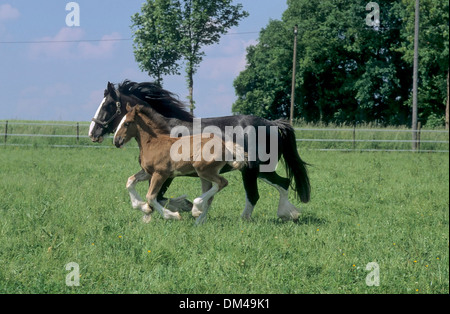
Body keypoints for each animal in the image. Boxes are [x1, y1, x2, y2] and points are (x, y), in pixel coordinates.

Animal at [89, 79, 312, 220]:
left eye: (108, 105)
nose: (93, 132)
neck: (162, 130)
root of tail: (272, 124)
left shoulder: (165, 173)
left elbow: (157, 196)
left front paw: (181, 208)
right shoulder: (150, 171)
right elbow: (131, 183)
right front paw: (145, 208)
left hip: (253, 169)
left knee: (258, 193)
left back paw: (253, 217)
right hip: (259, 170)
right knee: (282, 183)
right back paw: (290, 214)